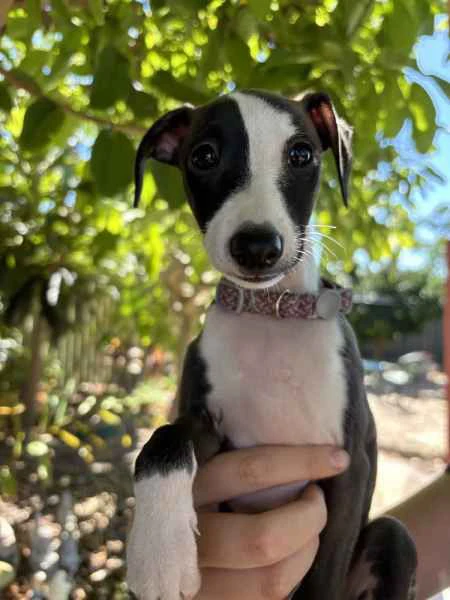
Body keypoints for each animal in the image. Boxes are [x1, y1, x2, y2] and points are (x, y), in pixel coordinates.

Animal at [125, 90, 416, 600]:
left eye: (301, 154)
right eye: (204, 156)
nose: (258, 247)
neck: (272, 315)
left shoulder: (350, 464)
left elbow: (323, 578)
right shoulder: (211, 429)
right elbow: (163, 440)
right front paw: (159, 556)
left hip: (392, 537)